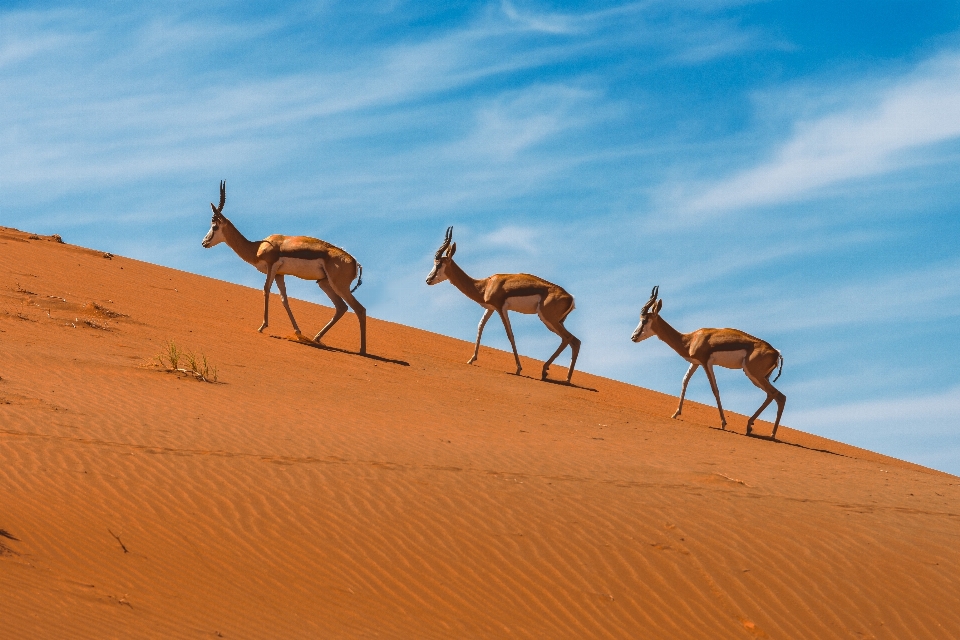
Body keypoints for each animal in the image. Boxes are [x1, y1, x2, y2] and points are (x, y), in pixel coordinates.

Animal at [201, 181, 366, 356]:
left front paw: (262, 326)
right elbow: (284, 299)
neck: (257, 247)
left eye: (214, 226)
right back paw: (316, 338)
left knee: (359, 309)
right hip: (324, 283)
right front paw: (298, 332)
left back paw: (362, 350)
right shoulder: (280, 274)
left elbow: (266, 290)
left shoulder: (272, 266)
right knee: (341, 307)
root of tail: (355, 262)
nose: (204, 242)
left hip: (339, 286)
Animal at [426, 228, 576, 382]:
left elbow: (510, 334)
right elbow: (480, 326)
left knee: (569, 339)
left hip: (548, 319)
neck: (486, 285)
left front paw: (518, 368)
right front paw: (471, 359)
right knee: (574, 341)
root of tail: (570, 298)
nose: (428, 280)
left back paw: (551, 373)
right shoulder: (491, 309)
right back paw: (562, 377)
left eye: (438, 264)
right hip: (554, 322)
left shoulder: (500, 308)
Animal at [632, 286, 784, 440]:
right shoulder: (695, 363)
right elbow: (684, 381)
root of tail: (776, 352)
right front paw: (675, 414)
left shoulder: (706, 363)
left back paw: (764, 431)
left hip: (753, 374)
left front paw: (723, 423)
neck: (691, 339)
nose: (633, 337)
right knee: (775, 396)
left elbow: (714, 389)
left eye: (644, 320)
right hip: (759, 377)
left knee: (777, 394)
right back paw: (760, 430)